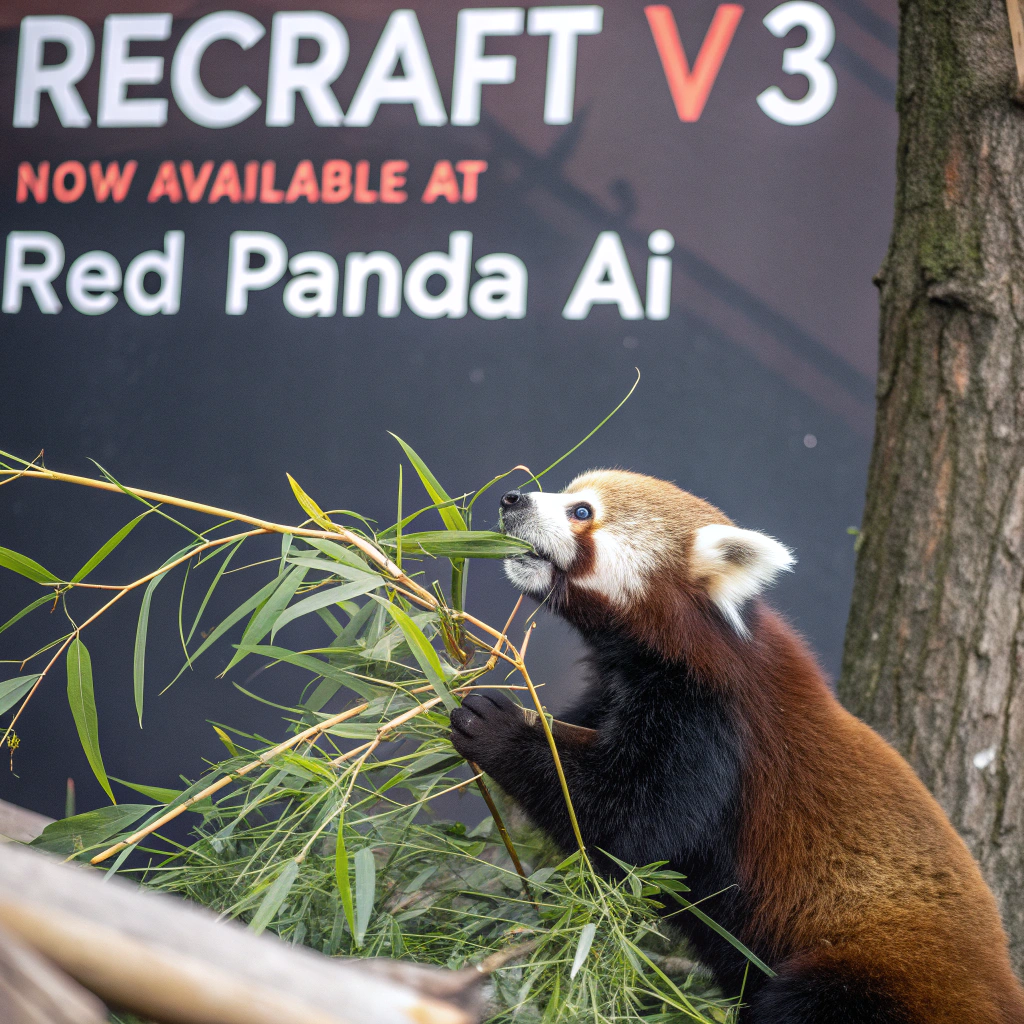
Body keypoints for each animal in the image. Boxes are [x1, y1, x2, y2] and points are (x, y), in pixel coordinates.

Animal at [449, 469, 1024, 1024]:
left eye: (582, 511)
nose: (512, 499)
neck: (689, 647)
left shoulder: (710, 728)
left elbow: (629, 828)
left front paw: (496, 728)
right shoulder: (616, 690)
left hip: (871, 974)